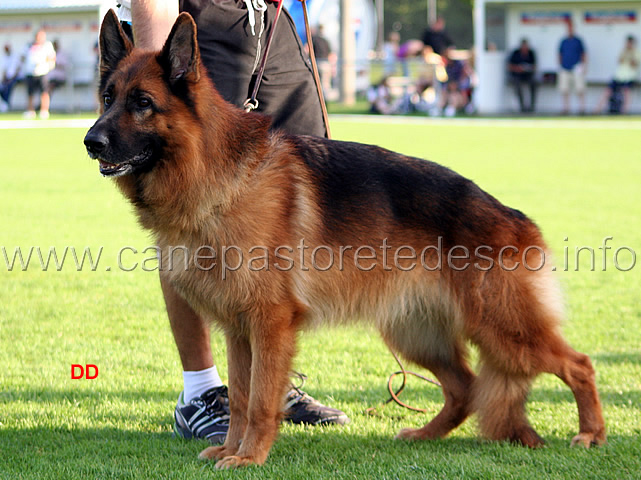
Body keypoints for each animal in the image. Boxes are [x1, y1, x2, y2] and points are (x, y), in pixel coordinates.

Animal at [85, 10, 604, 468]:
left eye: (142, 103)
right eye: (108, 98)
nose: (91, 142)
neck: (217, 171)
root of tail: (515, 219)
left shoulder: (269, 325)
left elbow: (259, 400)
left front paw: (250, 457)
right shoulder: (238, 330)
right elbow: (241, 396)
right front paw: (231, 448)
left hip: (505, 330)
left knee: (578, 364)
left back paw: (591, 434)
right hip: (418, 334)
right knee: (466, 388)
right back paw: (425, 435)